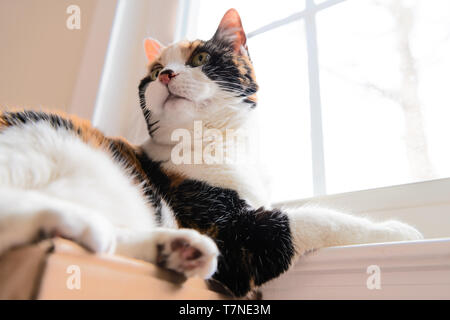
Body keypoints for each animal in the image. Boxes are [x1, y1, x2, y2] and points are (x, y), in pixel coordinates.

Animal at [0, 8, 422, 298]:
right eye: (155, 70)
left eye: (200, 59)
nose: (166, 74)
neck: (217, 141)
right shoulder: (231, 235)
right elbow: (315, 219)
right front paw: (396, 231)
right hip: (39, 147)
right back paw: (71, 220)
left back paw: (176, 248)